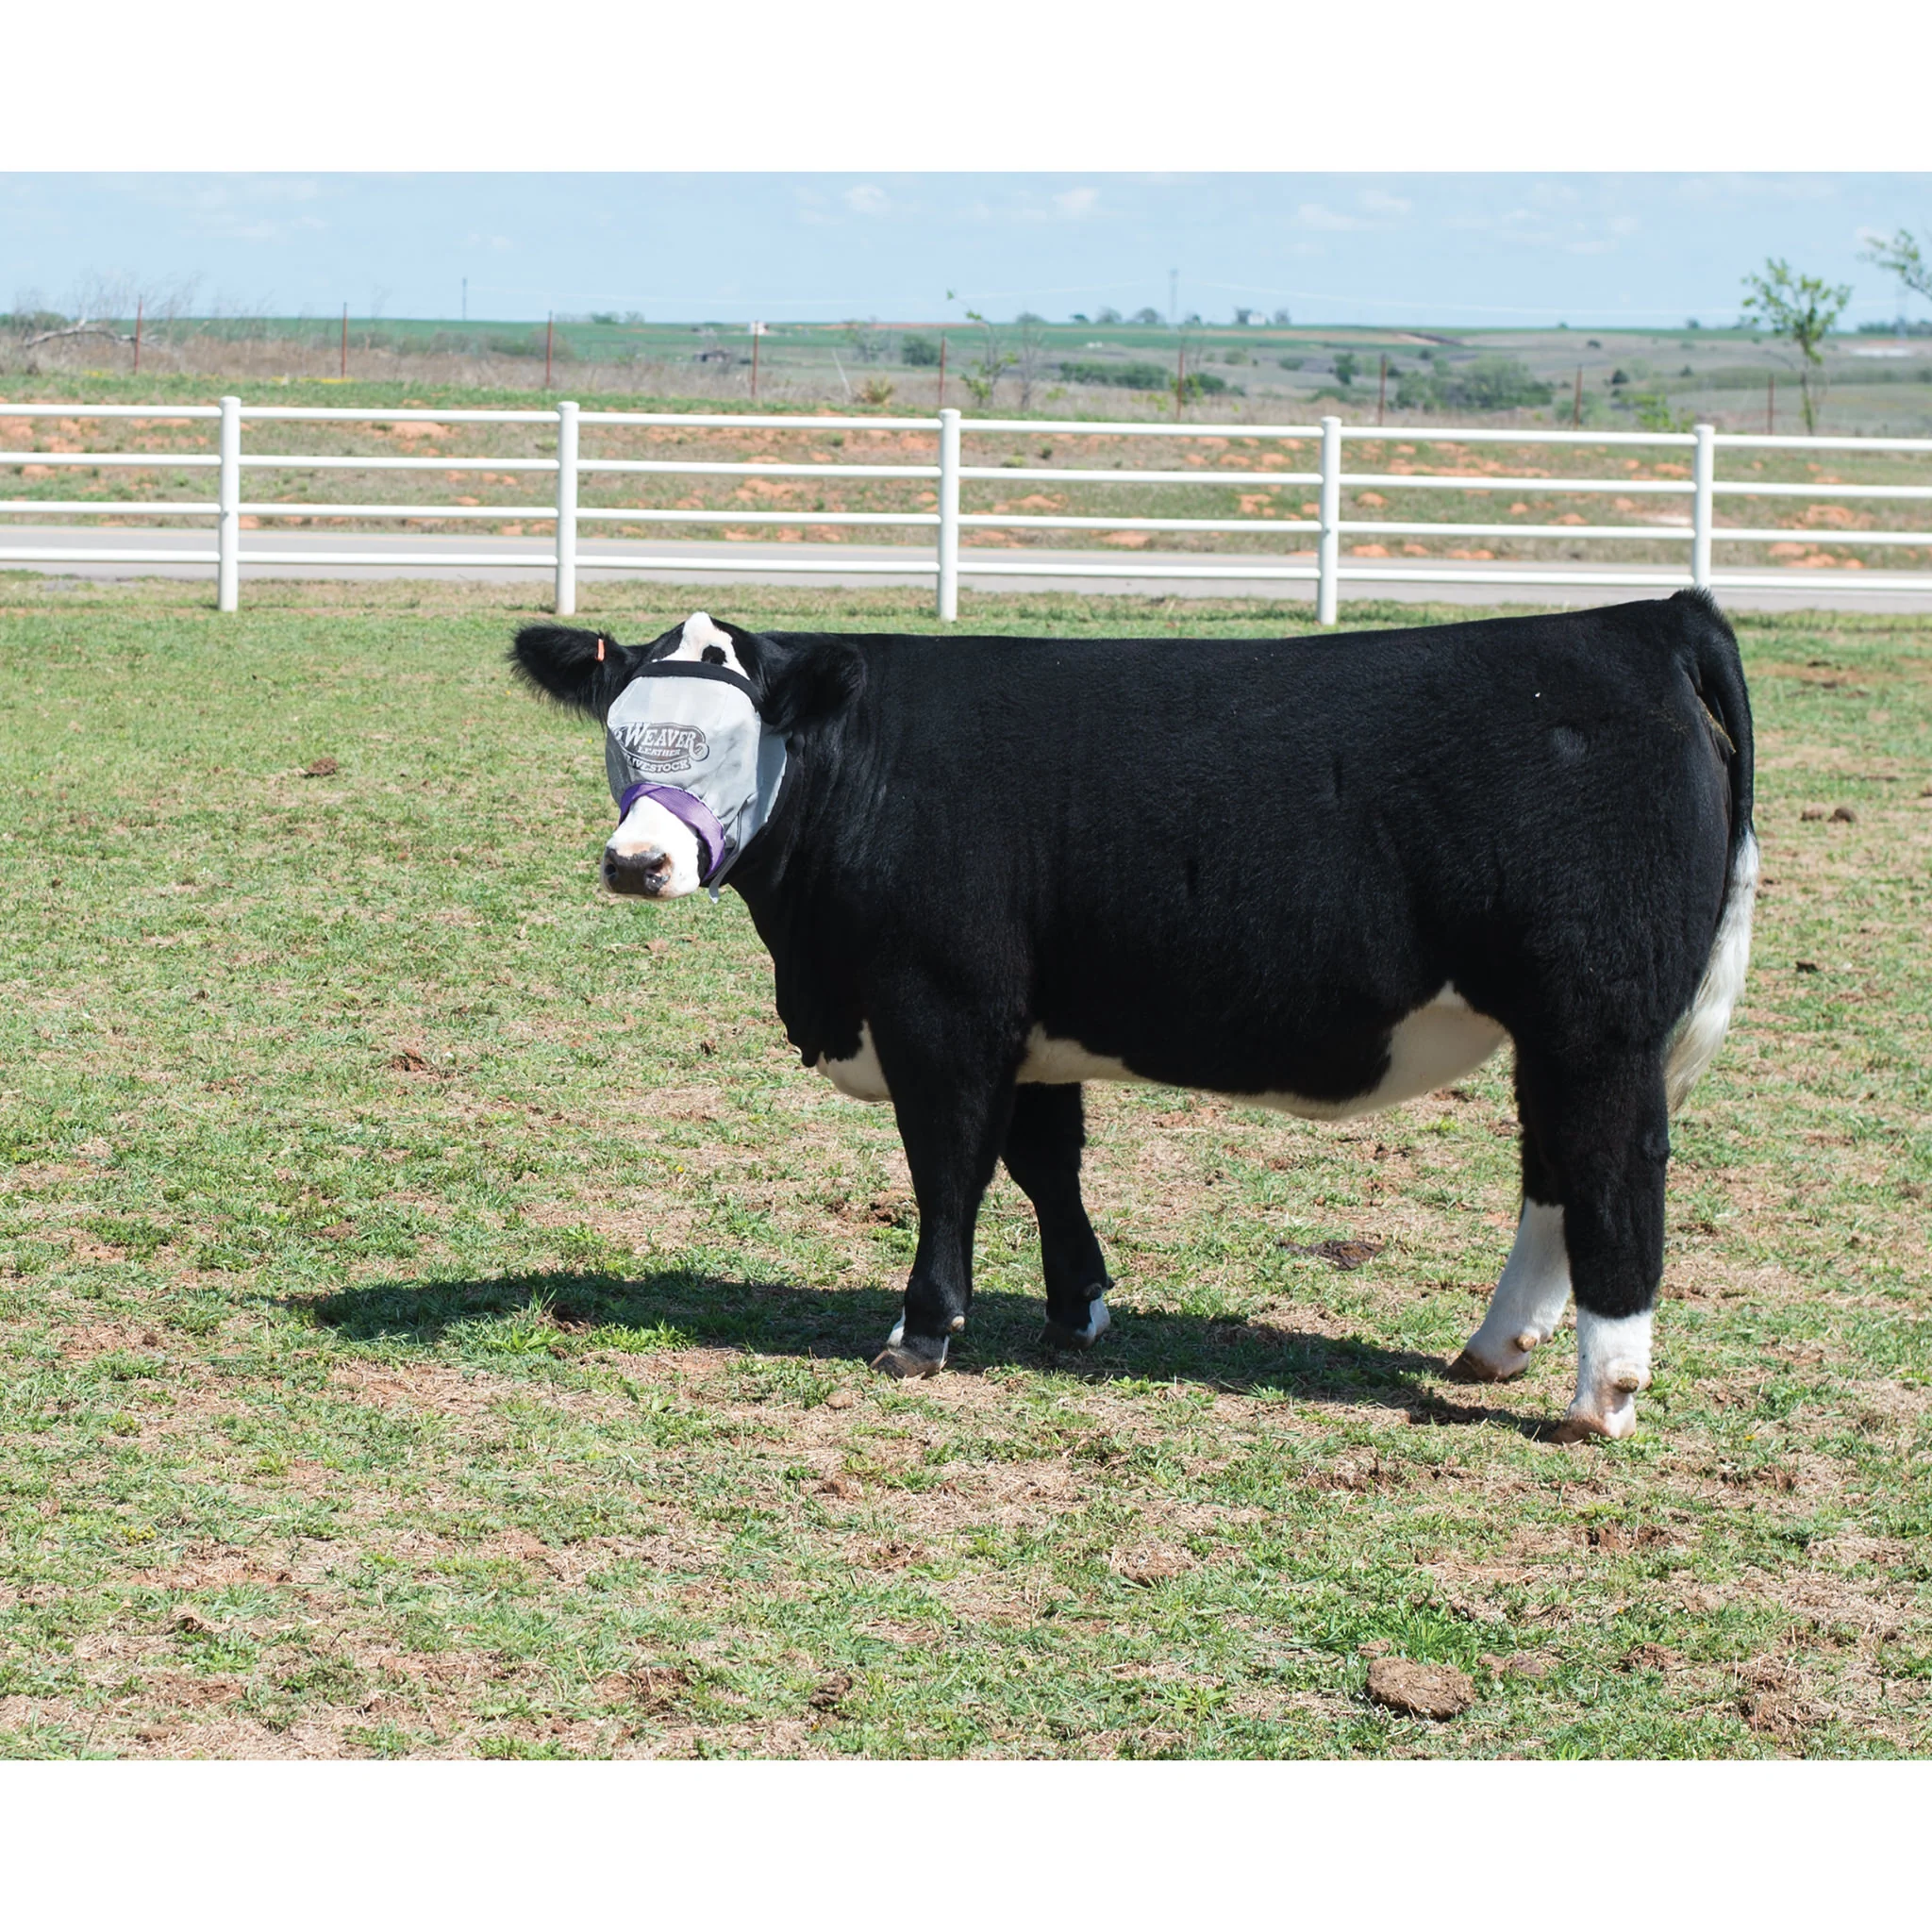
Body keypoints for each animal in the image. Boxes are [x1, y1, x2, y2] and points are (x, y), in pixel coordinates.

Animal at [511, 594, 1756, 1442]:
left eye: (732, 740)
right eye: (620, 731)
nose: (637, 861)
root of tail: (1646, 617)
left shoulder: (941, 1009)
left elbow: (948, 1167)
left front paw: (922, 1332)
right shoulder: (1031, 1025)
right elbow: (1043, 1161)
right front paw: (1077, 1311)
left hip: (1598, 1018)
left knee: (1612, 1170)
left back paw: (1599, 1396)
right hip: (1555, 1030)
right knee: (1553, 1168)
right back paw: (1494, 1347)